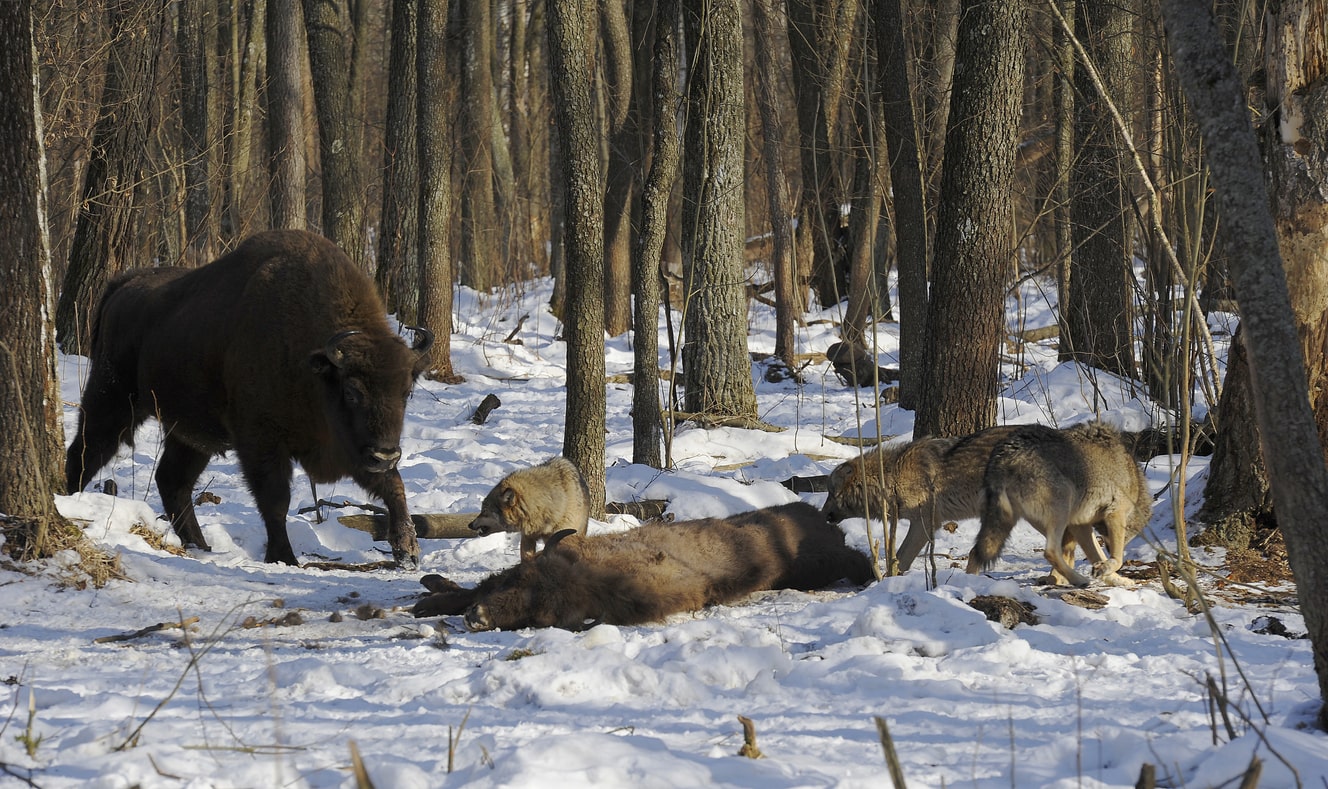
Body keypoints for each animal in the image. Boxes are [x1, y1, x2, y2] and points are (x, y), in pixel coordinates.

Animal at [965, 422, 1152, 588]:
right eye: (1130, 535)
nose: (1108, 544)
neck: (1134, 477)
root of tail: (1002, 458)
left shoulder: (1080, 525)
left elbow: (1098, 555)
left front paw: (1115, 578)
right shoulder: (1115, 513)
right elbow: (1117, 559)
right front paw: (1107, 569)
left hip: (1006, 523)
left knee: (975, 551)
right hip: (1062, 508)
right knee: (1050, 551)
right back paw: (1079, 580)